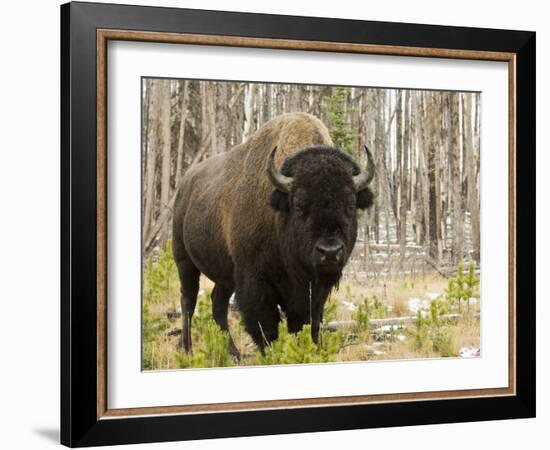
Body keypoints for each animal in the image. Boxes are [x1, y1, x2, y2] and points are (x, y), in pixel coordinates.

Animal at [175, 112, 378, 358]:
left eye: (350, 206)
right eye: (299, 206)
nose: (329, 252)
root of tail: (184, 185)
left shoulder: (313, 293)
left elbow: (307, 324)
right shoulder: (255, 282)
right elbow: (266, 326)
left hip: (226, 276)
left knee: (218, 303)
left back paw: (233, 353)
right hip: (184, 260)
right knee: (188, 300)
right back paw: (187, 350)